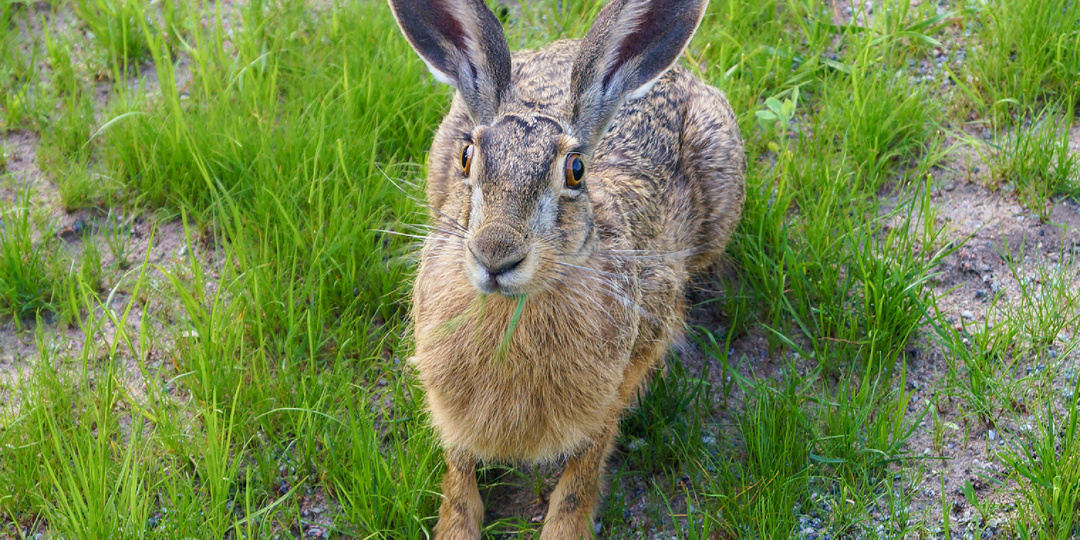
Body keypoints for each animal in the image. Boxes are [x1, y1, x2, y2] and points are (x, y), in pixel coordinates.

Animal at [388, 0, 745, 537]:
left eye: (576, 171)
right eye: (468, 157)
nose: (495, 254)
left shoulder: (621, 377)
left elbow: (585, 466)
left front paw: (564, 527)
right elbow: (458, 468)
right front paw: (455, 525)